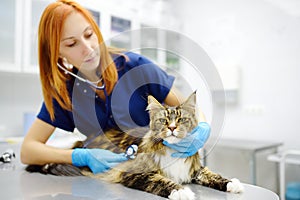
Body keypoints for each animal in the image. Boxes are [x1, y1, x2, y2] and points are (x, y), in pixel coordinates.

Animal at [26, 91, 244, 199]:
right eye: (164, 121)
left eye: (181, 120)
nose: (172, 128)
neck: (171, 150)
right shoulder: (135, 173)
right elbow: (162, 181)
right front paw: (181, 191)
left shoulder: (194, 169)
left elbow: (212, 174)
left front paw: (232, 183)